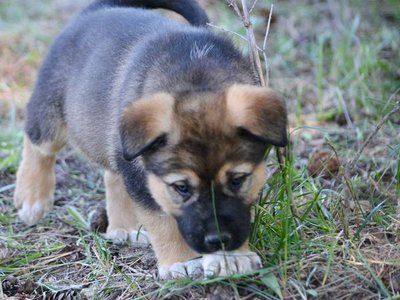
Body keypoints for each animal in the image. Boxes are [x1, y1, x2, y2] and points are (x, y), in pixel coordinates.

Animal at [13, 0, 288, 278]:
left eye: (237, 180)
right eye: (181, 187)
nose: (219, 241)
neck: (197, 79)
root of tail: (97, 9)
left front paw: (232, 258)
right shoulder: (146, 182)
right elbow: (163, 222)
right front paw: (181, 262)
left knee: (113, 176)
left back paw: (123, 229)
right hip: (51, 112)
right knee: (39, 147)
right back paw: (33, 199)